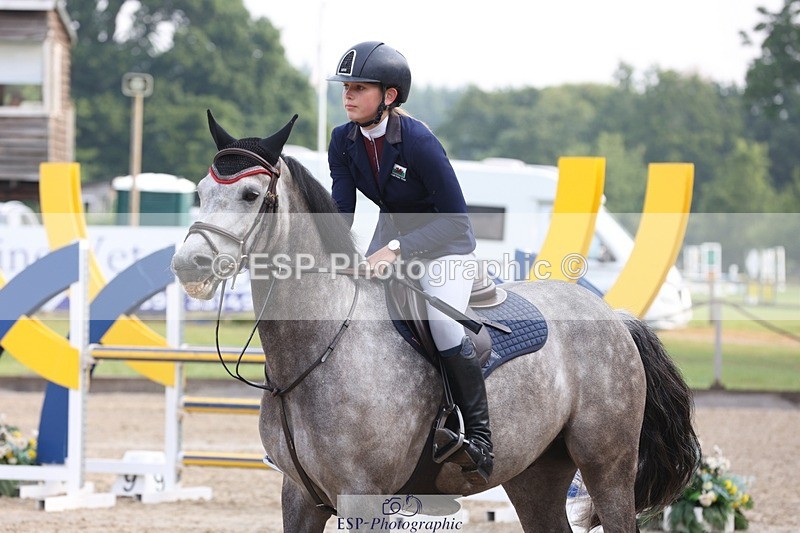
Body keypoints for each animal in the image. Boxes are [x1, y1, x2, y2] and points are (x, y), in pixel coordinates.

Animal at [171, 113, 700, 532]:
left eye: (250, 193)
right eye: (200, 192)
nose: (188, 264)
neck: (316, 349)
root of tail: (615, 318)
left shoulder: (363, 497)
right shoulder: (299, 496)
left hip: (607, 464)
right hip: (534, 473)